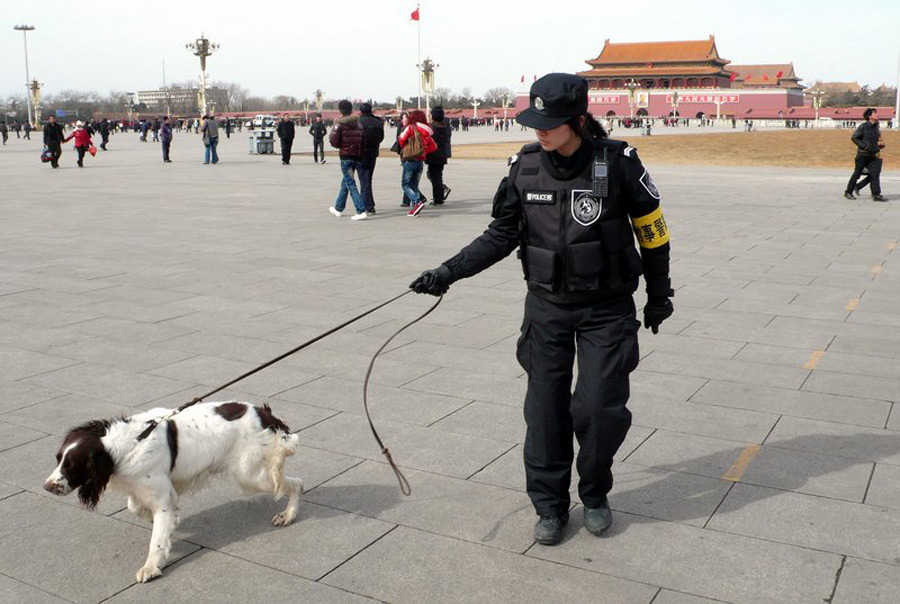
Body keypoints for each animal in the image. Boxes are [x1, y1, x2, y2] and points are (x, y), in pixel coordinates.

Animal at [43, 401, 303, 583]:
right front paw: (162, 522)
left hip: (249, 475)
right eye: (58, 459)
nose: (46, 486)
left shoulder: (163, 497)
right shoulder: (146, 487)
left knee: (297, 484)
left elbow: (157, 539)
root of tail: (265, 413)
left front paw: (151, 567)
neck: (126, 445)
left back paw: (288, 515)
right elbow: (135, 507)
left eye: (71, 465)